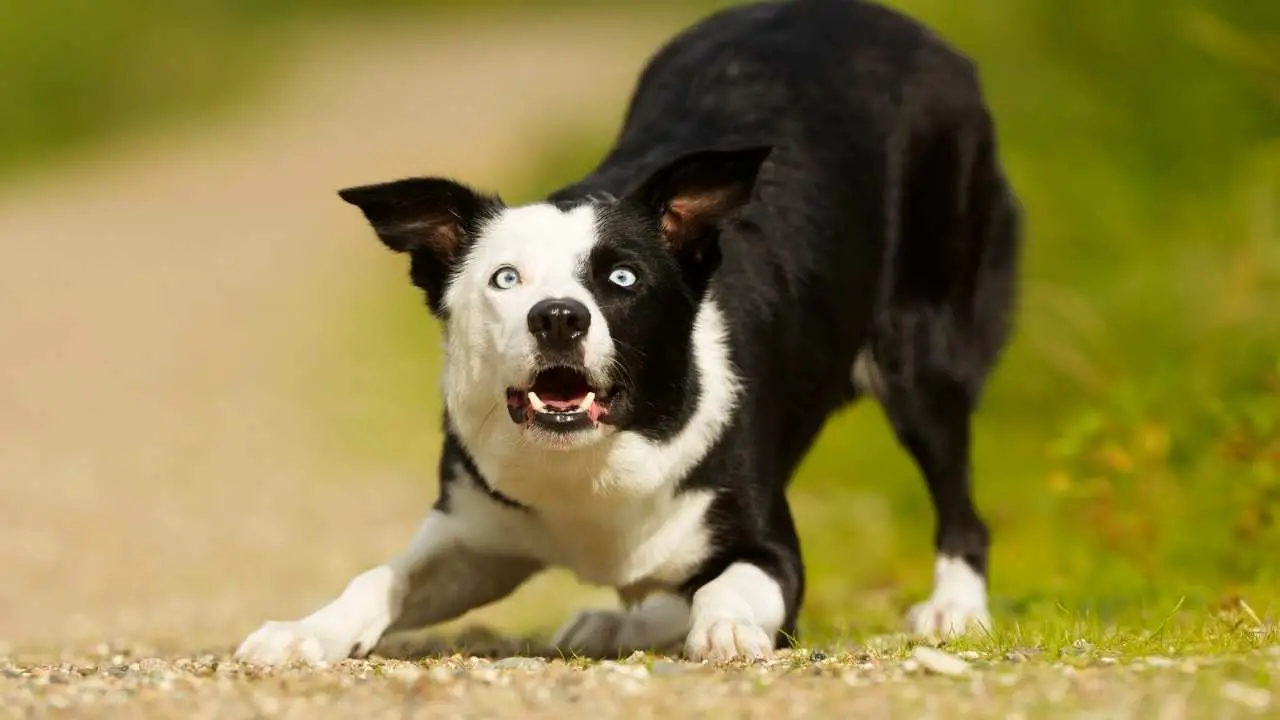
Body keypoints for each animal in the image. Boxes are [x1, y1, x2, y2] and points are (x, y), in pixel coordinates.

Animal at [235, 0, 1024, 661]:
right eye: (504, 279)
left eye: (622, 278)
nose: (558, 315)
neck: (591, 461)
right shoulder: (471, 527)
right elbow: (381, 577)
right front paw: (304, 632)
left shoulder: (772, 547)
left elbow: (738, 581)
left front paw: (726, 625)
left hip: (925, 345)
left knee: (959, 499)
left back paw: (954, 608)